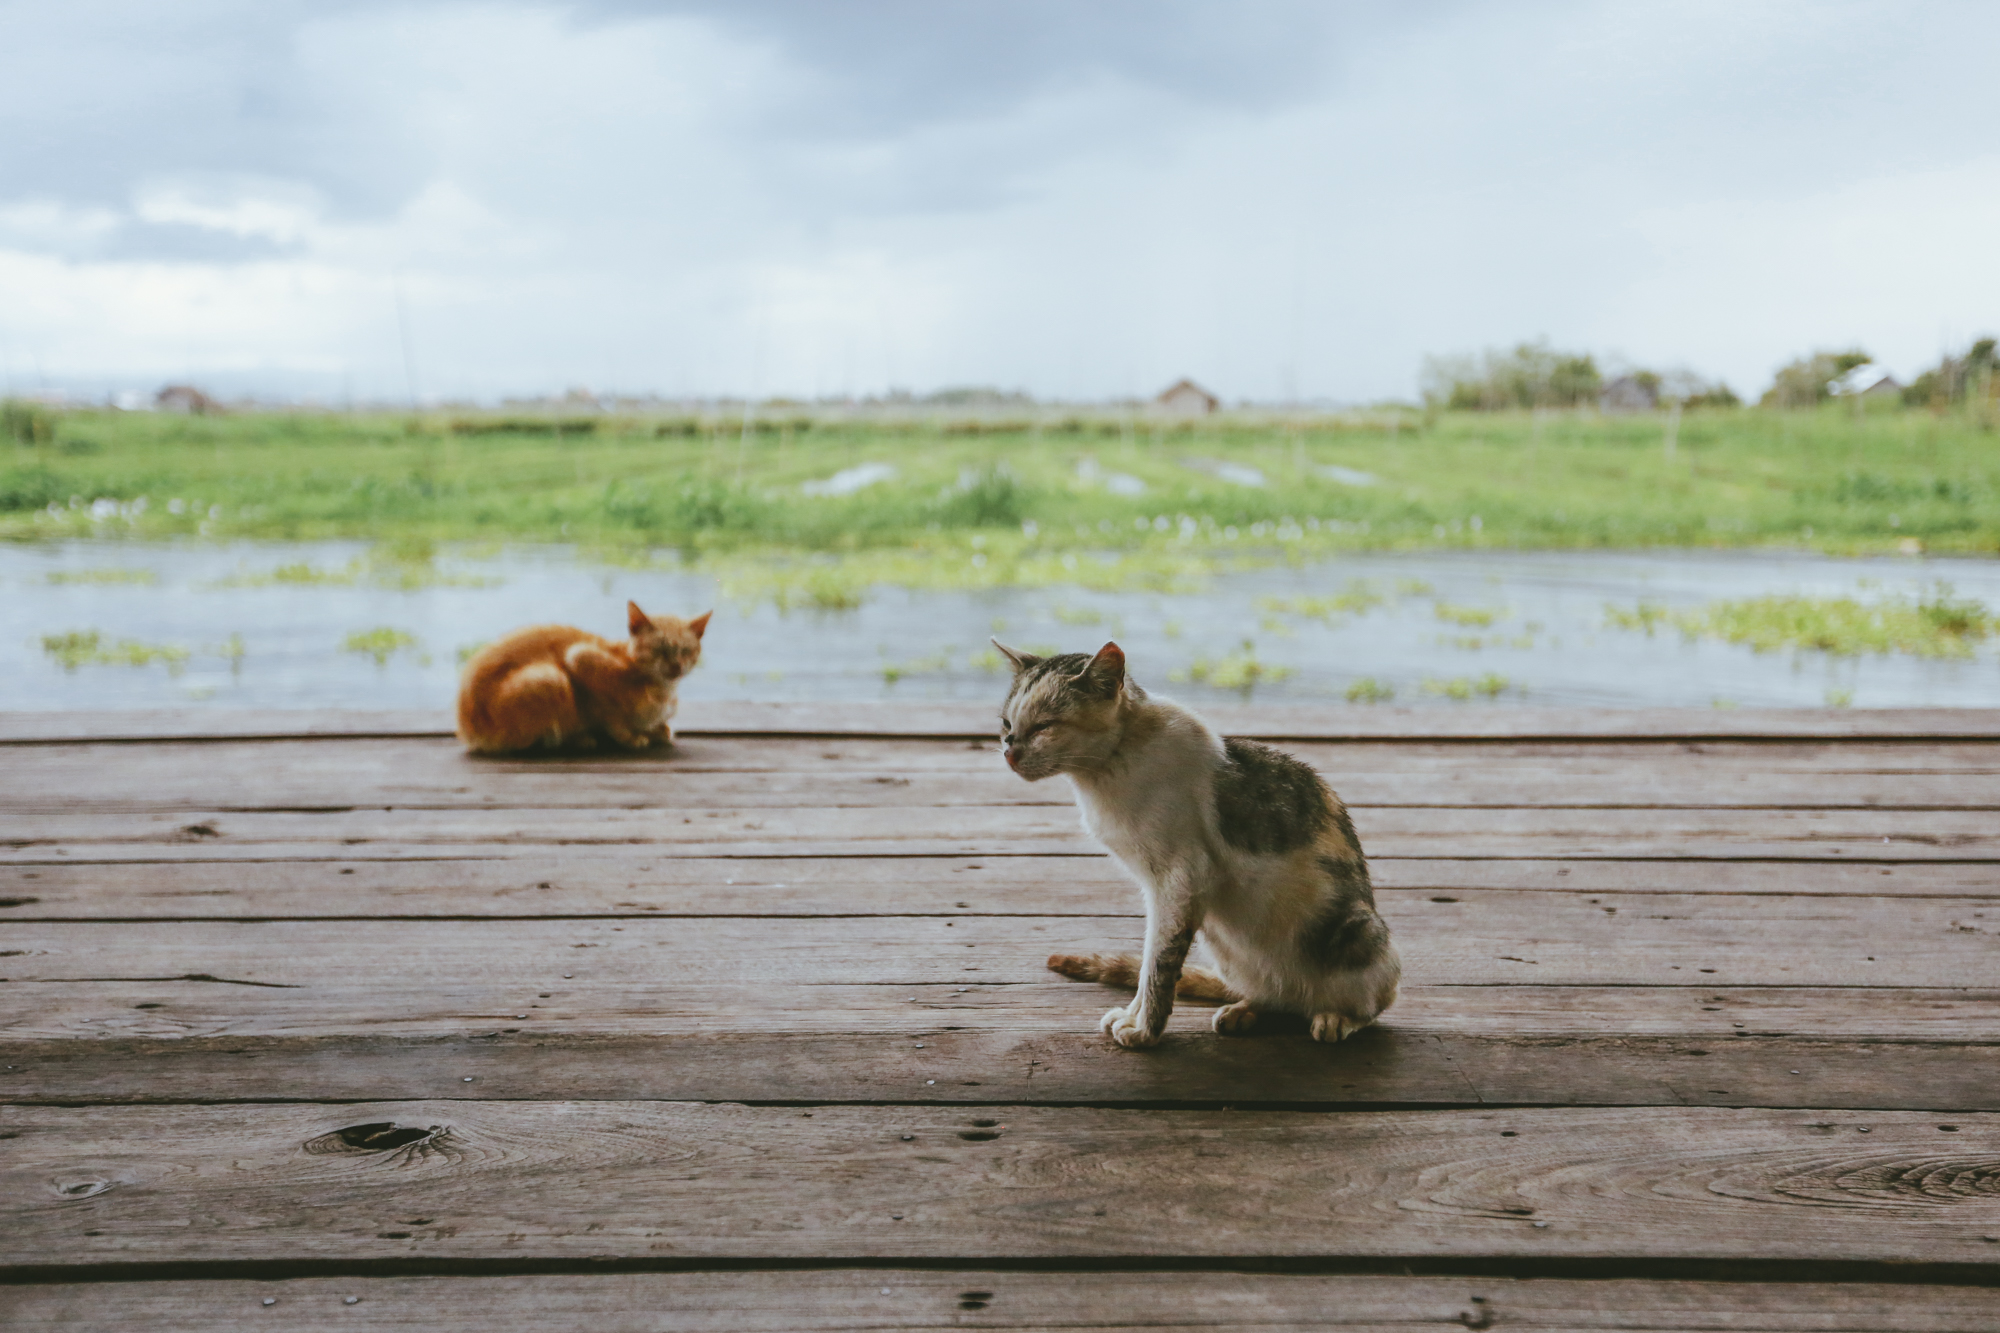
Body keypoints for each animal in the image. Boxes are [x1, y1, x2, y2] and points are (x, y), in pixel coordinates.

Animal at [456, 600, 712, 752]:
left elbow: (663, 729)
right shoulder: (579, 658)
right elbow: (610, 715)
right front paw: (631, 736)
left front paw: (656, 730)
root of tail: (465, 728)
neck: (663, 691)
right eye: (659, 649)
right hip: (552, 677)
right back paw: (578, 739)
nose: (676, 666)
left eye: (686, 651)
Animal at [992, 640, 1400, 1040]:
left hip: (1357, 931)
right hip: (1221, 943)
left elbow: (1159, 964)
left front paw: (1145, 1032)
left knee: (1375, 1002)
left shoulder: (1180, 879)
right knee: (1273, 998)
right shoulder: (1156, 889)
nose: (1009, 751)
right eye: (1006, 723)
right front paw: (1134, 1015)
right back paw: (1244, 1010)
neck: (1107, 770)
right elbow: (1148, 957)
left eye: (1044, 726)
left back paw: (1335, 1018)